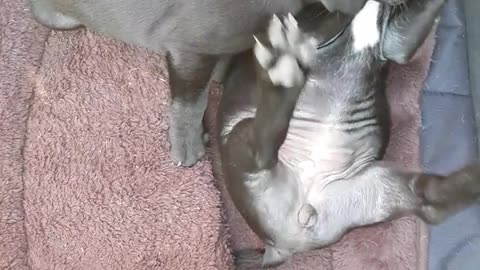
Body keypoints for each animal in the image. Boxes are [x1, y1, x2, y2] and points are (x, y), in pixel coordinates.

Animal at [218, 0, 480, 266]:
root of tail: (282, 245)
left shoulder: (396, 40)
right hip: (241, 140)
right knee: (261, 152)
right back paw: (282, 78)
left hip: (379, 187)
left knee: (429, 203)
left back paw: (471, 179)